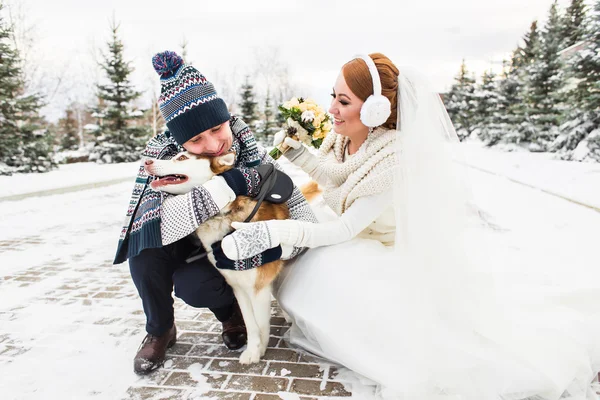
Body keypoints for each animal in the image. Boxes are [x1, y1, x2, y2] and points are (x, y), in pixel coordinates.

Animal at [144, 152, 322, 364]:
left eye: (182, 157)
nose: (146, 161)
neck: (222, 214)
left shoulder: (257, 287)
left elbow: (260, 323)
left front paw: (260, 349)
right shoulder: (238, 287)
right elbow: (251, 324)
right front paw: (253, 349)